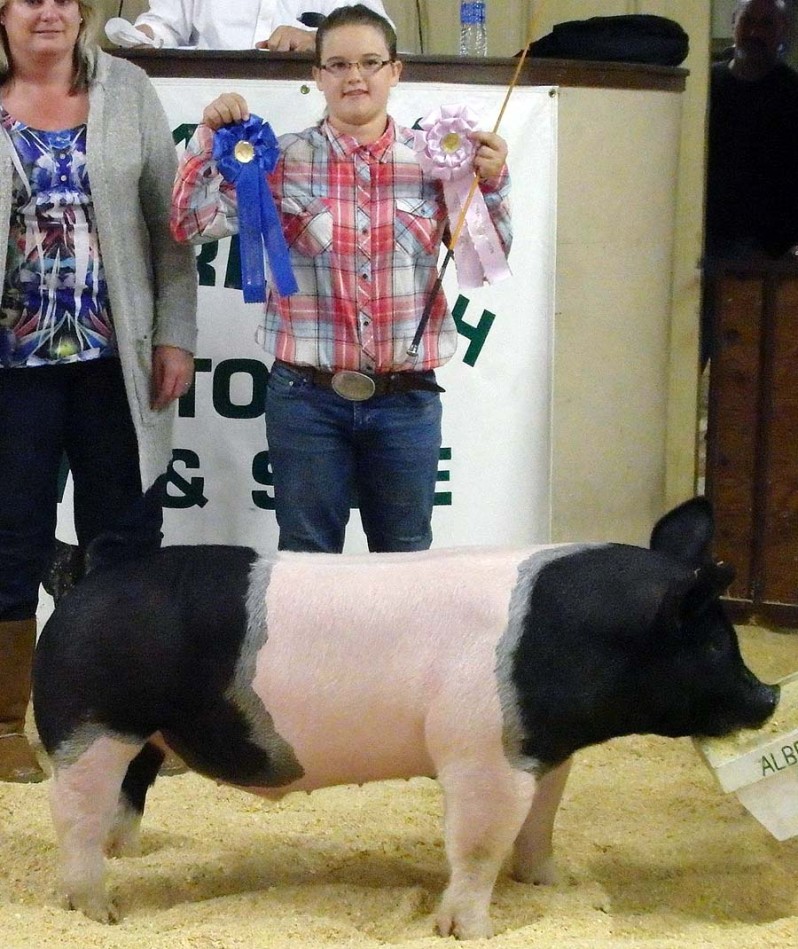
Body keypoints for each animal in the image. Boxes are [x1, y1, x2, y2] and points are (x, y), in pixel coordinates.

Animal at [32, 500, 780, 936]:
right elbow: (477, 843)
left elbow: (540, 824)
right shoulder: (483, 753)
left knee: (124, 798)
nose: (770, 694)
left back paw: (127, 856)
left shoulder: (546, 750)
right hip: (93, 725)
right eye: (715, 645)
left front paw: (554, 884)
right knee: (72, 817)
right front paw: (467, 931)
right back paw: (101, 911)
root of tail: (85, 583)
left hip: (144, 736)